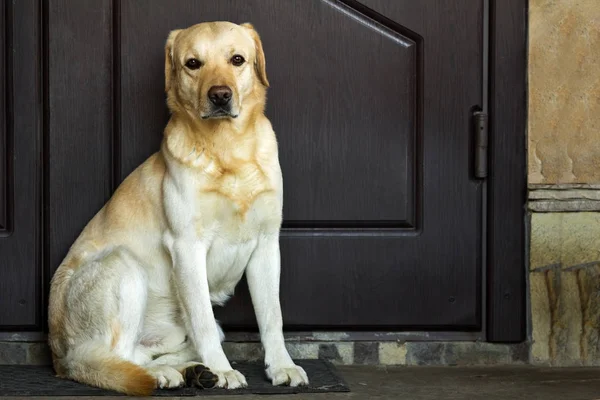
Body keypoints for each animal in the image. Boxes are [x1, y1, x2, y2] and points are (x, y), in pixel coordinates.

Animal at [47, 21, 308, 394]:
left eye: (237, 59)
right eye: (193, 63)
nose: (220, 95)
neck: (228, 151)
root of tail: (60, 359)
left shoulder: (267, 244)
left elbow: (272, 317)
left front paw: (282, 366)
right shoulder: (186, 246)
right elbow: (201, 317)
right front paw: (224, 370)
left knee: (143, 354)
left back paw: (189, 371)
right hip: (124, 266)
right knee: (116, 356)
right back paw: (170, 374)